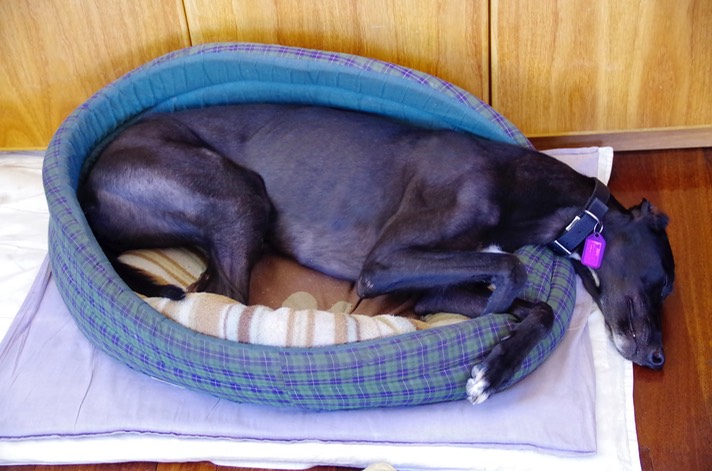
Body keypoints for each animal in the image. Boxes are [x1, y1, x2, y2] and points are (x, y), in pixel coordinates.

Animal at [80, 105, 676, 404]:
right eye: (663, 284)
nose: (657, 359)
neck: (521, 188)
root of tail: (87, 180)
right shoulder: (384, 264)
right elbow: (510, 267)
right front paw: (491, 324)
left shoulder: (431, 288)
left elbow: (542, 306)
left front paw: (494, 366)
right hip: (237, 193)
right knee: (222, 302)